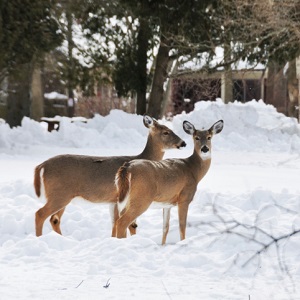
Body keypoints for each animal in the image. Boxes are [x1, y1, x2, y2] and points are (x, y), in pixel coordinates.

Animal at [34, 115, 185, 237]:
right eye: (166, 132)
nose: (183, 143)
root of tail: (42, 165)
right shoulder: (121, 198)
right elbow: (128, 224)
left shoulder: (113, 201)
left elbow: (114, 223)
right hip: (60, 194)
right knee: (40, 214)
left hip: (64, 196)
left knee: (54, 219)